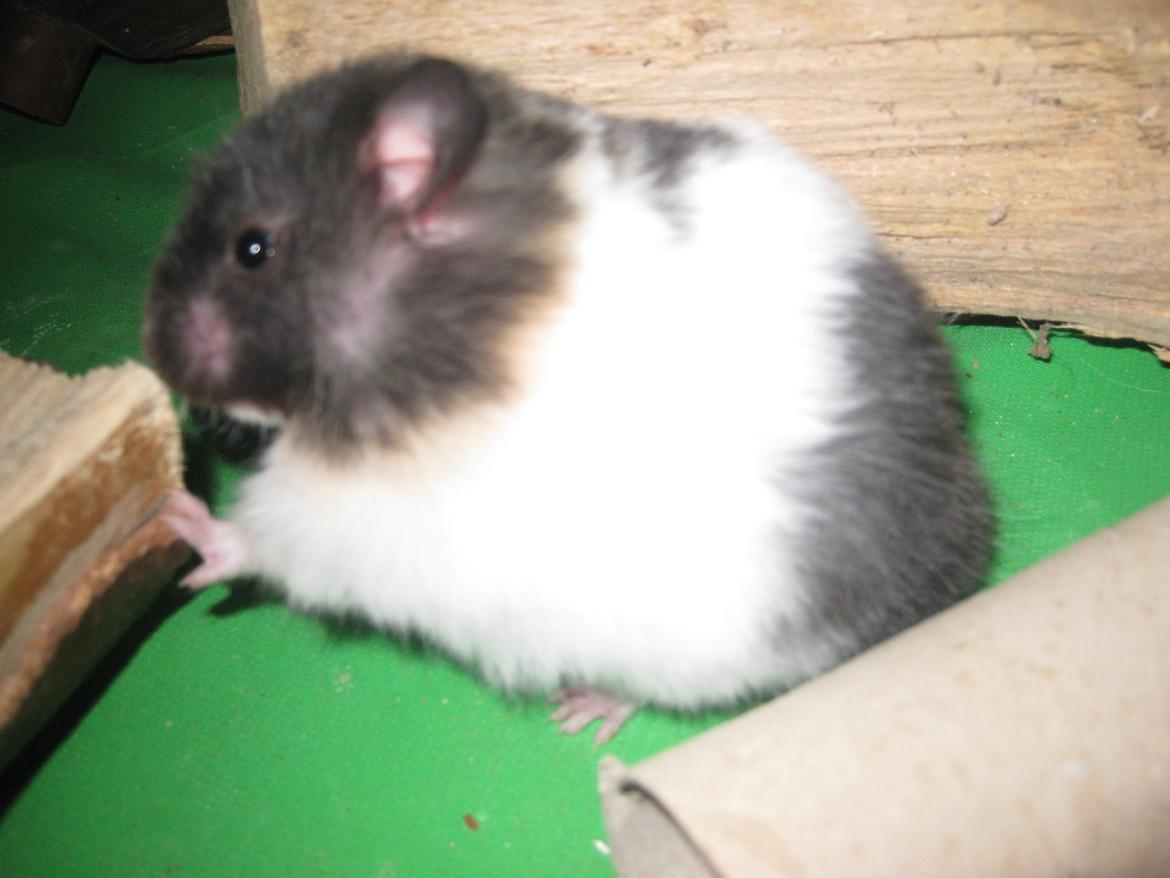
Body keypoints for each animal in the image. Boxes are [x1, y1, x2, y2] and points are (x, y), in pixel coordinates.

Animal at [144, 53, 993, 743]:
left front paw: (181, 523)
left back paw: (583, 712)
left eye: (253, 248)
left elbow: (264, 538)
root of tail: (955, 557)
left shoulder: (360, 513)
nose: (153, 353)